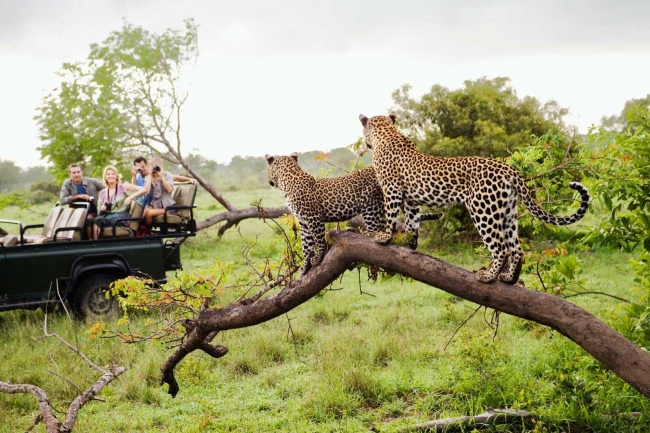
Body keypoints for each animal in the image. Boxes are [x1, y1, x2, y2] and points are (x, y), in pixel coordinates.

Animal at [264, 152, 440, 274]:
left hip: (370, 204)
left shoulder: (313, 218)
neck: (287, 182)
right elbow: (306, 245)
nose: (269, 182)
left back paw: (358, 232)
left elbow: (319, 240)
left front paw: (318, 257)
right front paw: (305, 266)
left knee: (375, 229)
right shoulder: (303, 222)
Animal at [356, 113, 588, 286]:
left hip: (483, 210)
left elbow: (391, 215)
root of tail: (511, 170)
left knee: (501, 248)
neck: (387, 134)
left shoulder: (392, 189)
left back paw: (488, 276)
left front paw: (384, 237)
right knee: (516, 249)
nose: (365, 144)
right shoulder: (411, 199)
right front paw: (411, 243)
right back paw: (509, 278)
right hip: (507, 213)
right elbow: (413, 221)